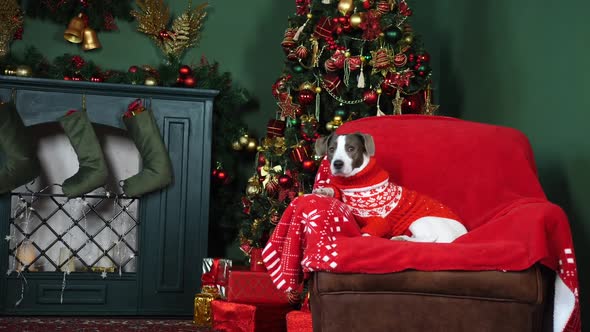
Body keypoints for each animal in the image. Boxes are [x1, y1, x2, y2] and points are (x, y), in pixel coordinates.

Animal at [312, 132, 470, 244]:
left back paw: (403, 239)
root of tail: (461, 234)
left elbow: (367, 233)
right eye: (331, 149)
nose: (337, 163)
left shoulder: (379, 222)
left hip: (420, 221)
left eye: (351, 149)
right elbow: (334, 191)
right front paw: (323, 190)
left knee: (431, 238)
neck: (356, 182)